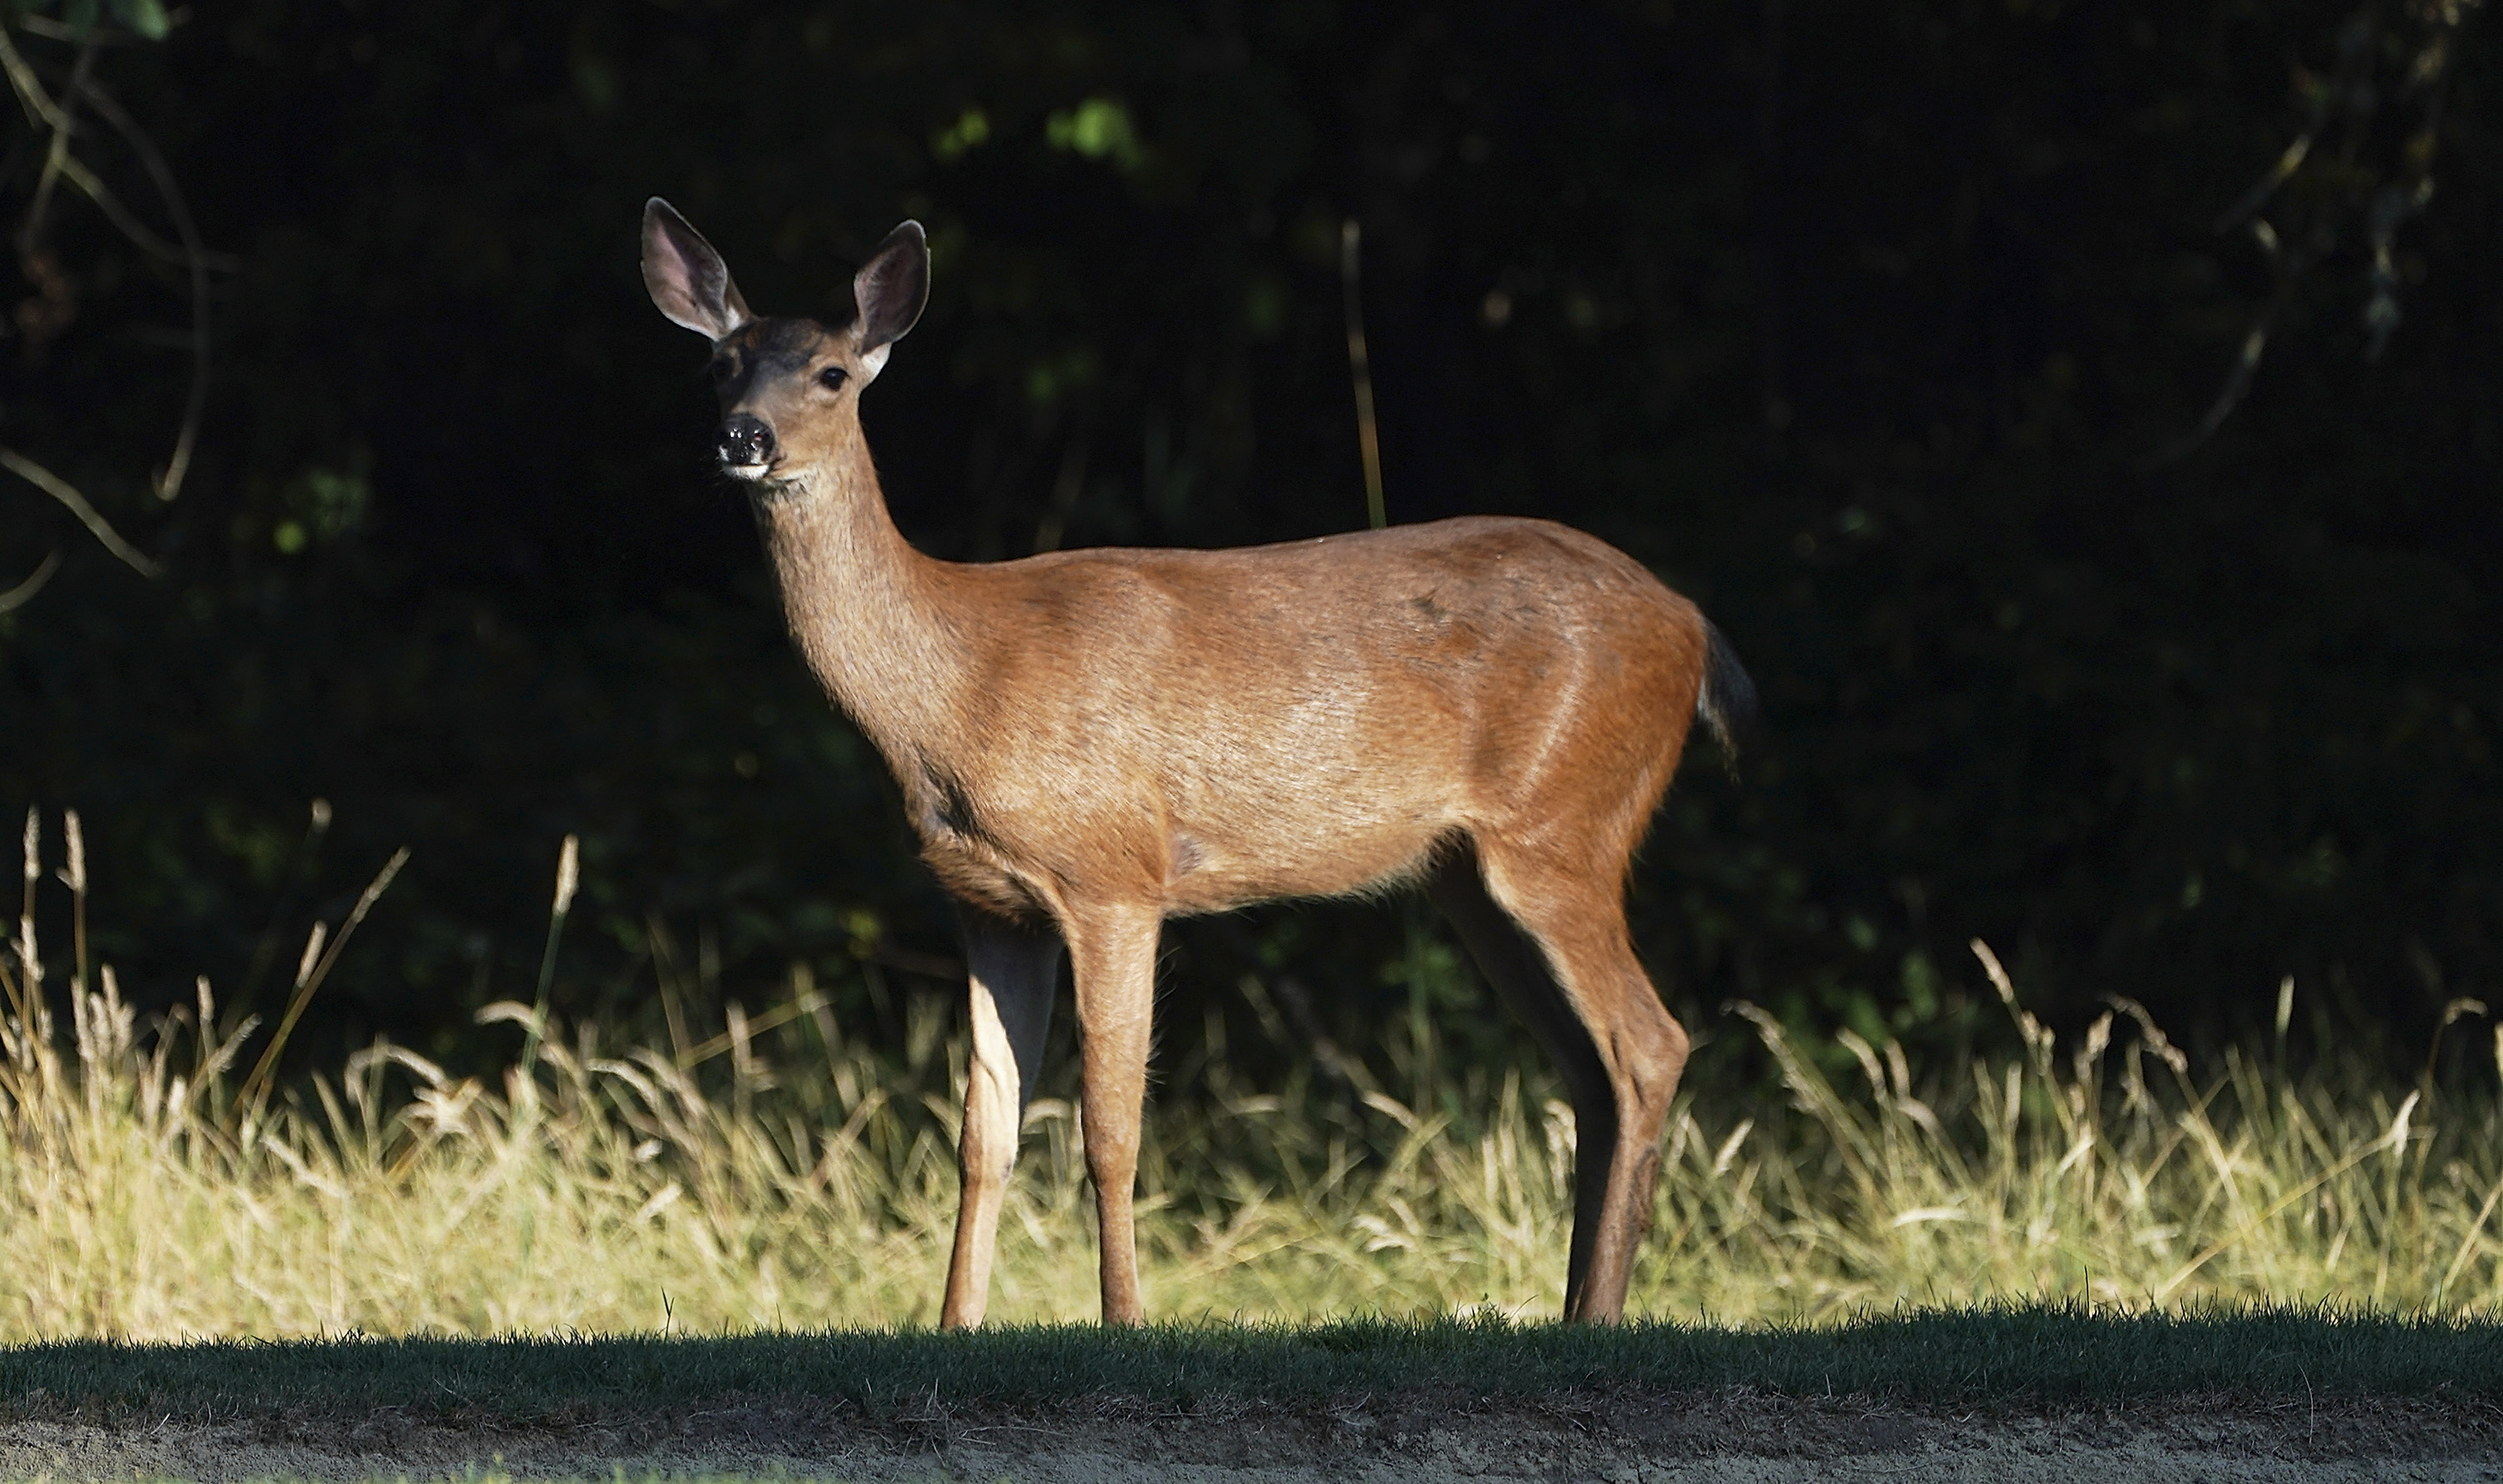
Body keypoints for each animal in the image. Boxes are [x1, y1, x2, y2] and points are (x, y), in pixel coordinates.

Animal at [636, 200, 1752, 1331]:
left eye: (829, 372)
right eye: (720, 365)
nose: (743, 437)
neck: (956, 692)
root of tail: (1694, 629)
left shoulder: (1114, 876)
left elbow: (1109, 1131)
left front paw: (1126, 1320)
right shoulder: (987, 904)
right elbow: (983, 1137)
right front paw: (952, 1327)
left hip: (1564, 825)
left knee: (1648, 1045)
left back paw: (1598, 1310)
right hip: (1471, 877)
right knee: (1589, 1067)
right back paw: (1574, 1307)